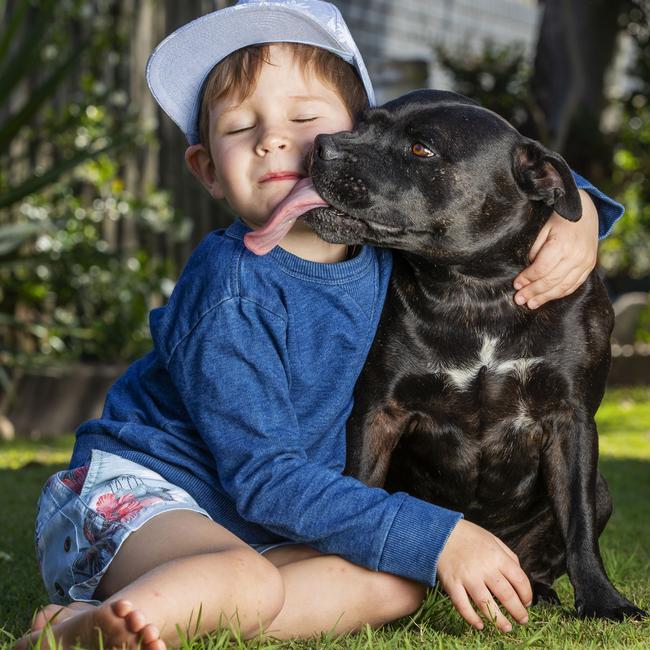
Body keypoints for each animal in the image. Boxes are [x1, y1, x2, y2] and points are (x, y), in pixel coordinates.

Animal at [302, 90, 644, 616]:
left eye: (421, 149)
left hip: (599, 490)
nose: (321, 145)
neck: (477, 291)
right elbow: (360, 483)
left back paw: (540, 591)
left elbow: (580, 525)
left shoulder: (571, 418)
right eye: (362, 125)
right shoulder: (379, 411)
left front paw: (604, 600)